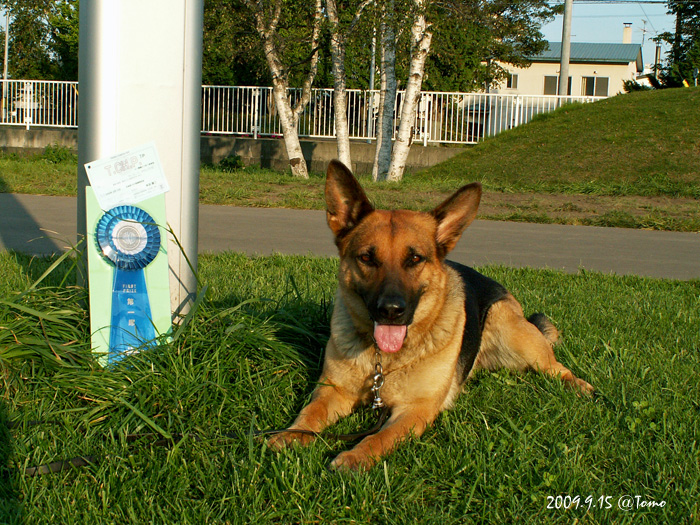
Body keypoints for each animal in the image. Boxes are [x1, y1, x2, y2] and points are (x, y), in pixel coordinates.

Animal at [270, 161, 592, 470]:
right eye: (366, 258)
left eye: (415, 258)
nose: (391, 311)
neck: (384, 361)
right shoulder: (332, 391)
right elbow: (310, 414)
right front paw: (290, 434)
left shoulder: (415, 410)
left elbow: (380, 436)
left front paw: (356, 457)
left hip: (512, 331)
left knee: (556, 366)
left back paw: (578, 385)